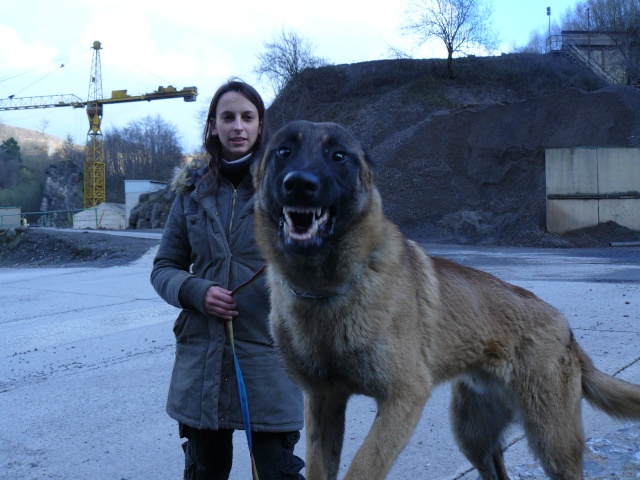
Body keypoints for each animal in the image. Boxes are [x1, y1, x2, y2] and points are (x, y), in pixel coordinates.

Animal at [251, 119, 640, 476]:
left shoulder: (403, 397)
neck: (326, 287)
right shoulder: (324, 404)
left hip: (552, 440)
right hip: (472, 436)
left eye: (338, 156)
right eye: (283, 151)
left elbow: (363, 467)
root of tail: (567, 329)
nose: (300, 184)